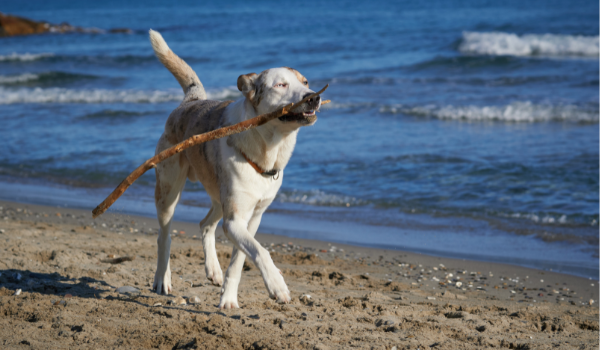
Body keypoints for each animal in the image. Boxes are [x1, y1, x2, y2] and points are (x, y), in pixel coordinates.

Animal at [148, 30, 322, 308]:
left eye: (305, 82)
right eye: (280, 85)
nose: (314, 96)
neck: (267, 149)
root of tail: (191, 100)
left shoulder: (252, 219)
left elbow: (241, 259)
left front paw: (228, 297)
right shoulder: (234, 221)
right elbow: (261, 251)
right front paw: (277, 286)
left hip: (220, 196)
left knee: (205, 224)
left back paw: (213, 270)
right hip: (169, 190)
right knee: (164, 236)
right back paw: (162, 280)